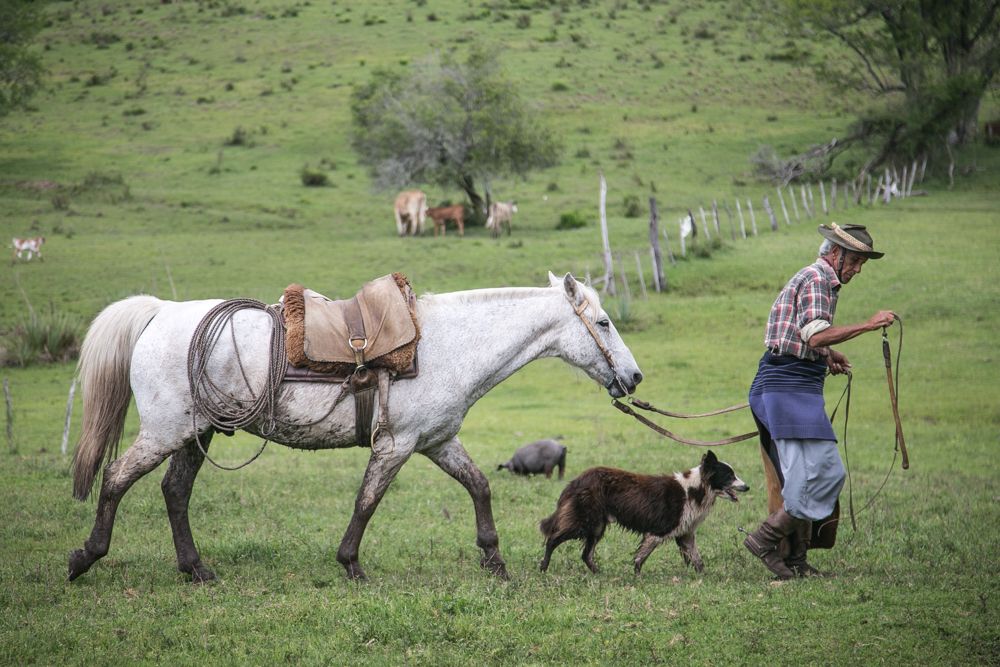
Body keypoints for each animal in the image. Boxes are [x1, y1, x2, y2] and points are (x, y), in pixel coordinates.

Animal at [72, 274, 648, 580]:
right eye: (603, 323)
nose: (635, 376)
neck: (446, 344)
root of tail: (160, 313)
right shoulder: (397, 445)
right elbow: (367, 502)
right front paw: (350, 564)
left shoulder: (438, 441)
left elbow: (480, 486)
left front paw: (494, 560)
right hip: (167, 431)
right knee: (117, 479)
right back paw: (86, 556)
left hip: (198, 433)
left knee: (175, 491)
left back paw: (196, 569)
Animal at [540, 454, 752, 576]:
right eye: (729, 476)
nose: (747, 487)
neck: (694, 489)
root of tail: (577, 480)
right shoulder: (658, 531)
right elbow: (640, 558)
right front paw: (637, 577)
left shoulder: (686, 533)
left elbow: (698, 561)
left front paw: (703, 578)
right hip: (585, 521)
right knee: (552, 539)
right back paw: (543, 568)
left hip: (596, 526)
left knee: (586, 555)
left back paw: (599, 574)